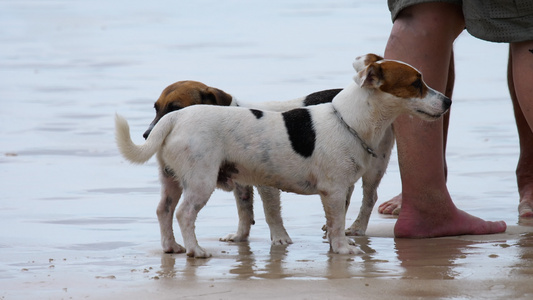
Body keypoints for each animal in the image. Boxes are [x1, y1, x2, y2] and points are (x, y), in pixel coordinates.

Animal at [115, 54, 448, 258]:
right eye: (416, 83)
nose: (448, 101)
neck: (349, 119)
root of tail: (176, 120)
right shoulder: (331, 190)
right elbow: (329, 221)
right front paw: (342, 249)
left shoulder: (331, 190)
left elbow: (329, 219)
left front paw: (335, 245)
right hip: (200, 181)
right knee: (184, 213)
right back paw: (195, 250)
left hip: (171, 179)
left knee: (163, 210)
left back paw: (171, 246)